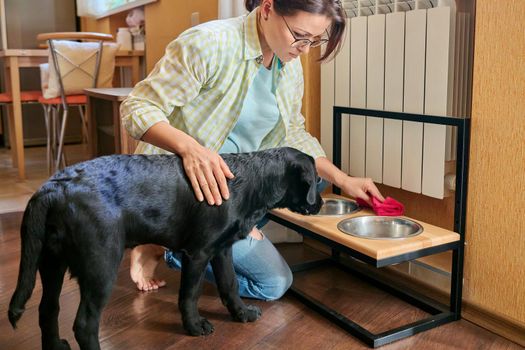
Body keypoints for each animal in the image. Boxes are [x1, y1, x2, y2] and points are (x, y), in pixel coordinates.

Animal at [8, 146, 322, 350]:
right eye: (316, 181)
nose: (319, 205)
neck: (250, 181)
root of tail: (51, 189)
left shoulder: (221, 250)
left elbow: (230, 285)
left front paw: (242, 314)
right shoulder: (198, 253)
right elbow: (190, 295)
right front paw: (195, 327)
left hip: (51, 261)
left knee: (48, 309)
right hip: (100, 266)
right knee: (84, 325)